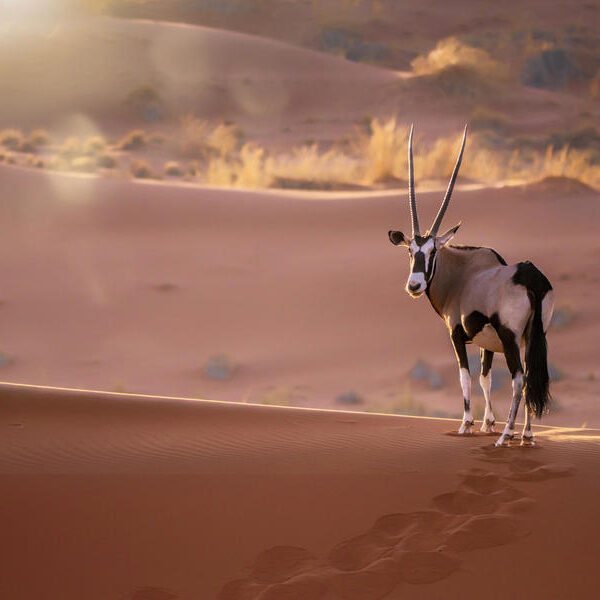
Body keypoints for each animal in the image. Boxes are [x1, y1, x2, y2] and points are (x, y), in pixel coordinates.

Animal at [390, 125, 552, 446]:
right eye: (410, 251)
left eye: (432, 251)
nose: (414, 285)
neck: (461, 274)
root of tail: (532, 276)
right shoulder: (486, 343)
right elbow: (485, 377)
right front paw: (488, 423)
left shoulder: (457, 335)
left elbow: (465, 376)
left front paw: (467, 424)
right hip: (534, 336)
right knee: (531, 375)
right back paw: (526, 435)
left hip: (512, 338)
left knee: (519, 378)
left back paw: (507, 435)